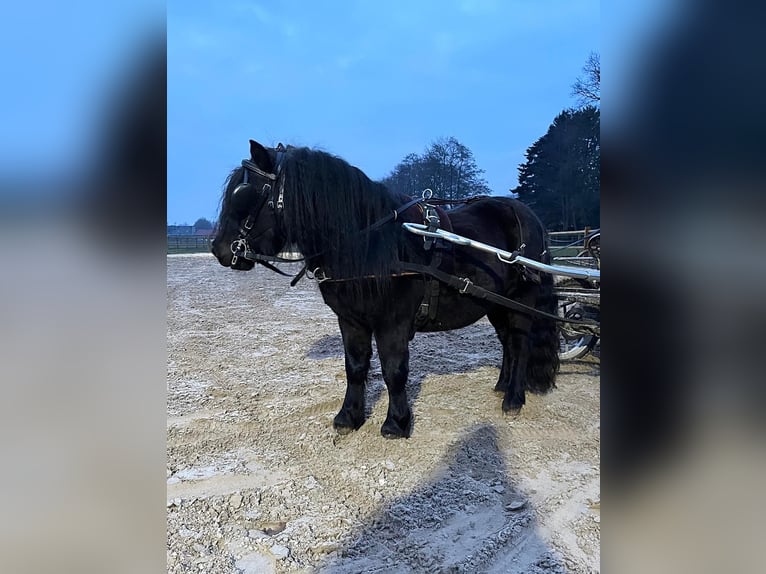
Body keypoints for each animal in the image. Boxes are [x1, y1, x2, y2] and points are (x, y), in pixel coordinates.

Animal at [213, 142, 560, 438]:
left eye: (246, 193)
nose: (220, 250)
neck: (370, 242)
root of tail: (528, 216)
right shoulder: (351, 320)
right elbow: (355, 367)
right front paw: (348, 418)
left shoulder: (392, 323)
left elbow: (394, 371)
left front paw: (396, 423)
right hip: (495, 304)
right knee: (508, 344)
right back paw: (502, 386)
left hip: (519, 301)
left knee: (520, 343)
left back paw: (513, 399)